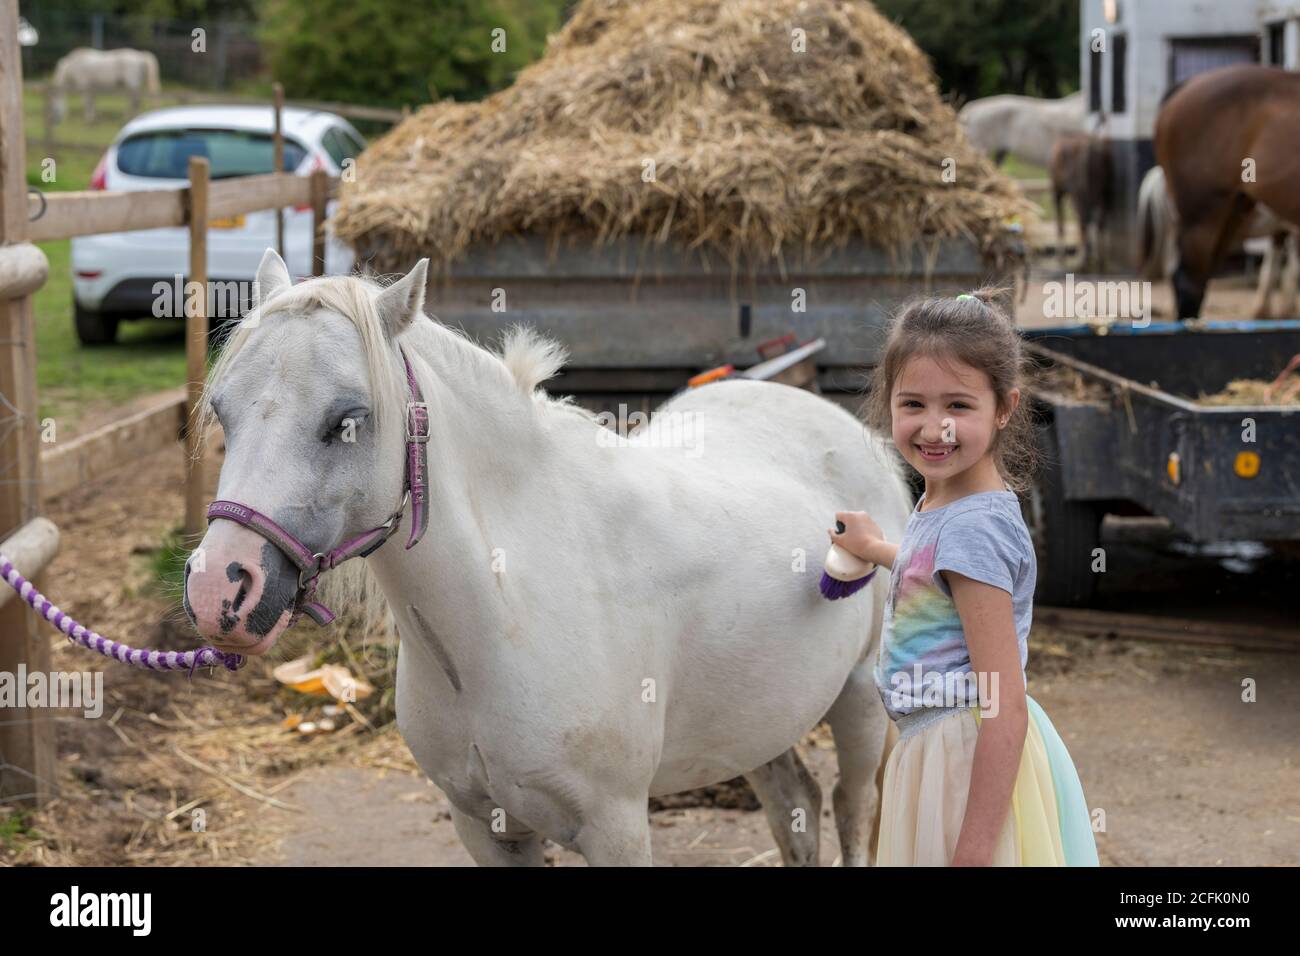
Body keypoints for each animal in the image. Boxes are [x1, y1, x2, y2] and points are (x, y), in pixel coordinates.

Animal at [183, 251, 915, 863]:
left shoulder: (616, 829)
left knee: (853, 809)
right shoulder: (485, 826)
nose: (220, 589)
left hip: (858, 704)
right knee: (797, 806)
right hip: (761, 719)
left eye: (347, 420)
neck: (503, 612)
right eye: (223, 411)